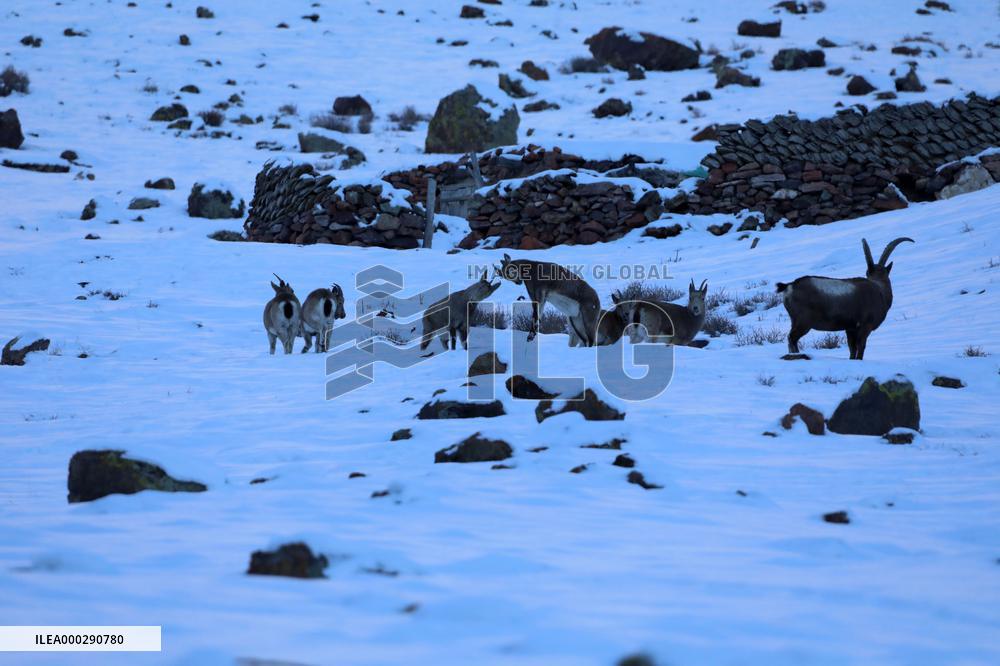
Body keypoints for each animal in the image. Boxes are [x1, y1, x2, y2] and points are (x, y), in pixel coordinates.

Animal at [776, 237, 913, 359]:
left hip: (795, 320)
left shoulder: (850, 328)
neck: (880, 290)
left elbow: (852, 349)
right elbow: (861, 347)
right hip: (804, 321)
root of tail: (789, 286)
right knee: (792, 338)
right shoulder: (865, 326)